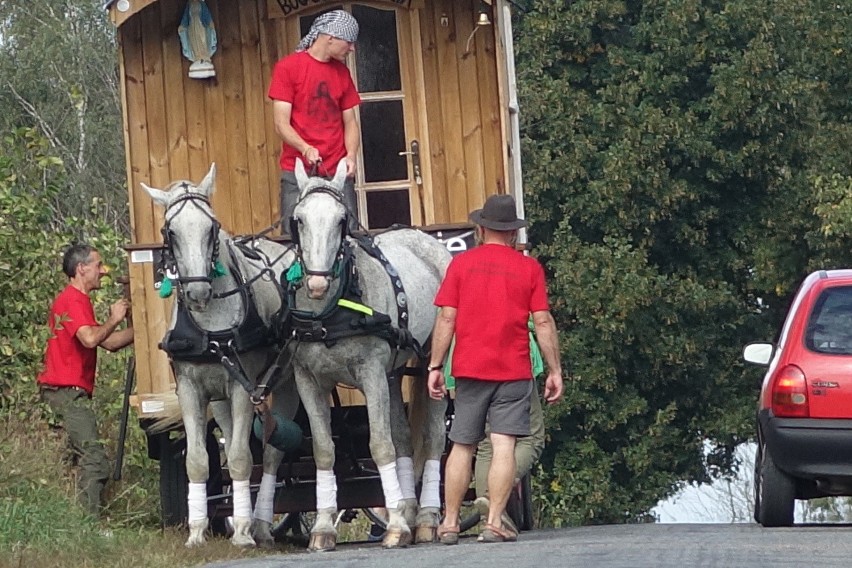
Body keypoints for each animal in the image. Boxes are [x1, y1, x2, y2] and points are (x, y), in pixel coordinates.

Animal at [141, 166, 298, 548]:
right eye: (170, 231)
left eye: (211, 226)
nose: (198, 292)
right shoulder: (189, 389)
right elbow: (198, 461)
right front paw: (197, 531)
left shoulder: (244, 388)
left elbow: (241, 458)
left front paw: (241, 531)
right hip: (221, 399)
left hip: (284, 383)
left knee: (270, 454)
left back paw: (260, 524)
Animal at [286, 160, 452, 552]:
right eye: (298, 219)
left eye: (341, 220)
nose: (317, 283)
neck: (330, 312)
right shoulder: (308, 380)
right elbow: (325, 451)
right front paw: (323, 527)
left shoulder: (371, 373)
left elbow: (380, 446)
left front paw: (395, 527)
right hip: (392, 374)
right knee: (405, 437)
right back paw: (407, 510)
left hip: (431, 365)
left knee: (434, 437)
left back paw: (424, 519)